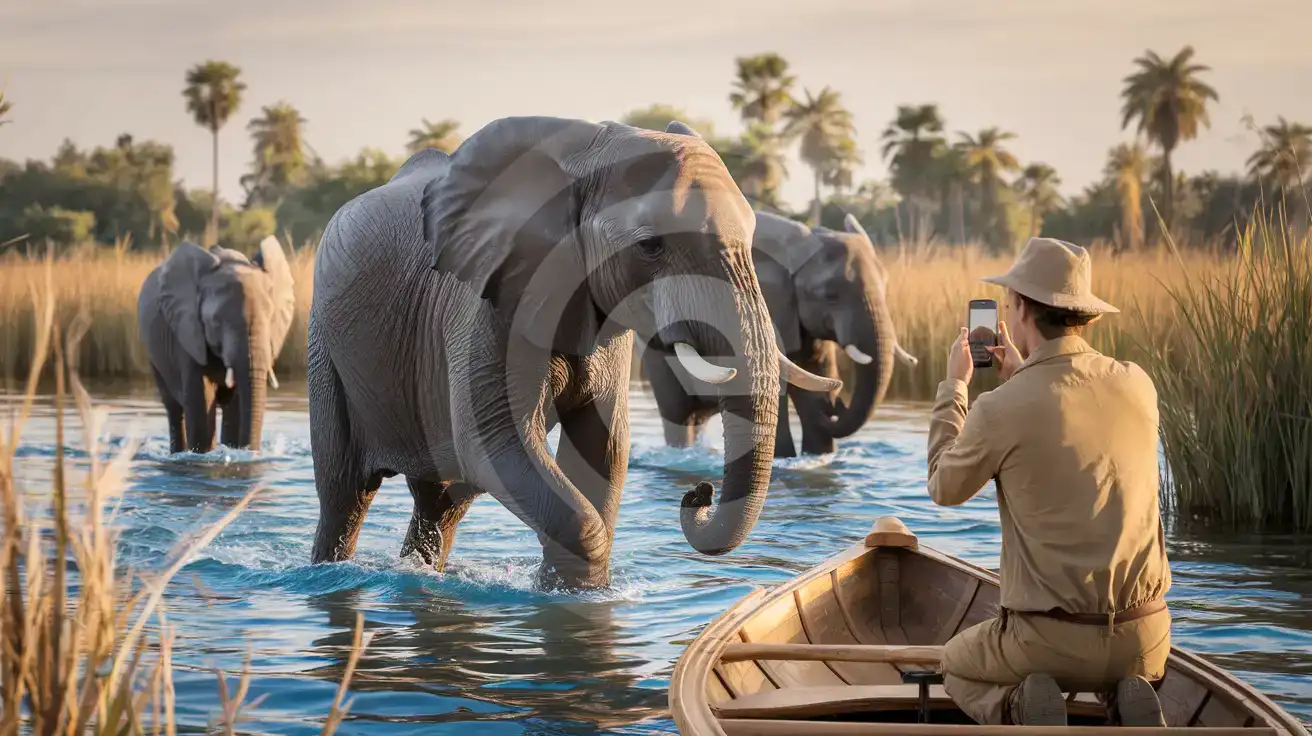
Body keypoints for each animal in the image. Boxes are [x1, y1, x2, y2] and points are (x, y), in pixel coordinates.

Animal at [137, 236, 296, 454]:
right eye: (215, 322)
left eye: (272, 319)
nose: (252, 451)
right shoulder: (187, 334)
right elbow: (201, 408)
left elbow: (236, 408)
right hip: (154, 356)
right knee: (174, 409)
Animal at [306, 116, 839, 588]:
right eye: (650, 247)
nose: (698, 492)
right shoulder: (484, 303)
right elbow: (494, 444)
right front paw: (572, 596)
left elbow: (604, 447)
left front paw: (573, 591)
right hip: (323, 345)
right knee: (344, 494)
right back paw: (331, 572)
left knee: (442, 503)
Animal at [643, 210, 917, 457]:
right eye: (831, 295)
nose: (836, 405)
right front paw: (786, 458)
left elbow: (816, 382)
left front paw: (818, 454)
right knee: (678, 413)